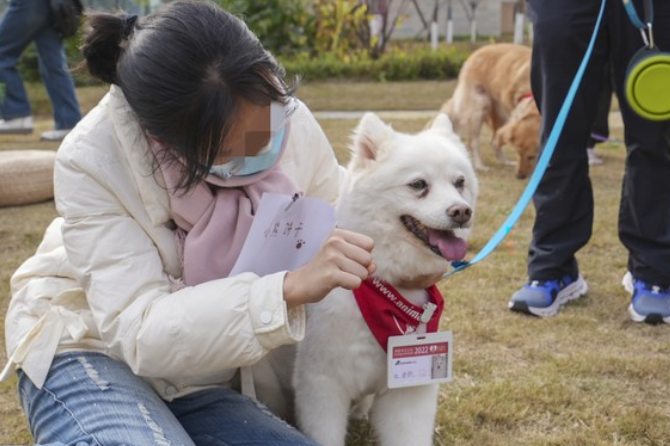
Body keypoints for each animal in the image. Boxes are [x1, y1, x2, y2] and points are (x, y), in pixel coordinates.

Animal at [294, 112, 478, 446]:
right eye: (418, 184)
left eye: (460, 183)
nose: (462, 211)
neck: (389, 283)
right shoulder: (322, 386)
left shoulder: (408, 393)